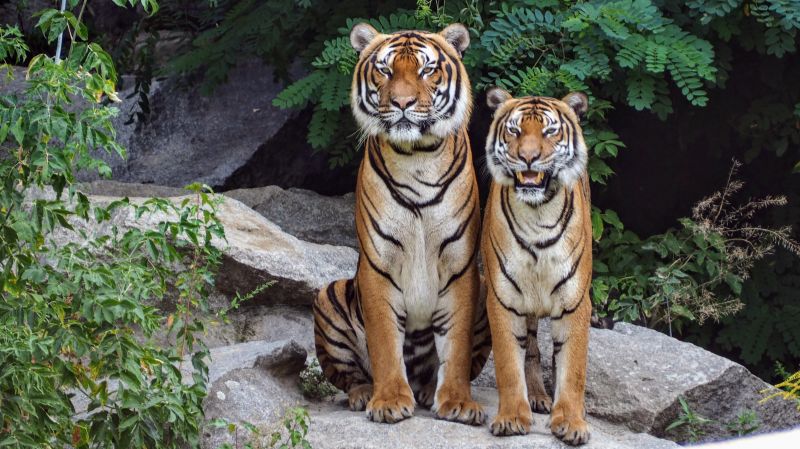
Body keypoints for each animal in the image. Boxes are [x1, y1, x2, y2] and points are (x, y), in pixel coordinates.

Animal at [312, 22, 491, 426]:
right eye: (385, 70)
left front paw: (457, 402)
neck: (417, 156)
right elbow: (383, 342)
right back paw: (364, 393)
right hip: (329, 294)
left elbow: (456, 347)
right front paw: (390, 400)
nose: (403, 103)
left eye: (426, 70)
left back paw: (427, 390)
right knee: (348, 375)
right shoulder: (379, 264)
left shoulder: (460, 266)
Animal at [481, 87, 593, 445]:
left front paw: (571, 422)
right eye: (515, 131)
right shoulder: (502, 299)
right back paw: (538, 397)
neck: (537, 215)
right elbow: (507, 363)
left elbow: (572, 369)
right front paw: (512, 417)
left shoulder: (575, 303)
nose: (528, 157)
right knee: (530, 349)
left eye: (549, 131)